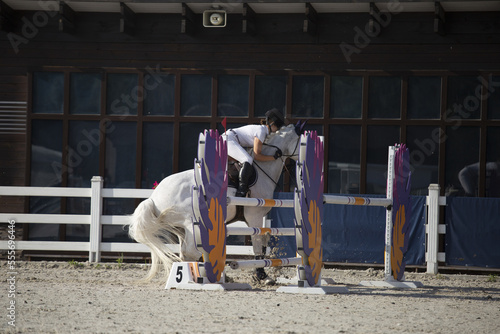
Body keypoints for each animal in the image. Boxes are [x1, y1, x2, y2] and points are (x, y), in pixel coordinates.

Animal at [127, 122, 302, 282]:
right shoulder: (254, 217)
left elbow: (264, 242)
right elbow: (258, 246)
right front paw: (262, 276)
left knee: (186, 253)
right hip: (192, 224)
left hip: (181, 229)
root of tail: (153, 198)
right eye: (301, 140)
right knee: (191, 252)